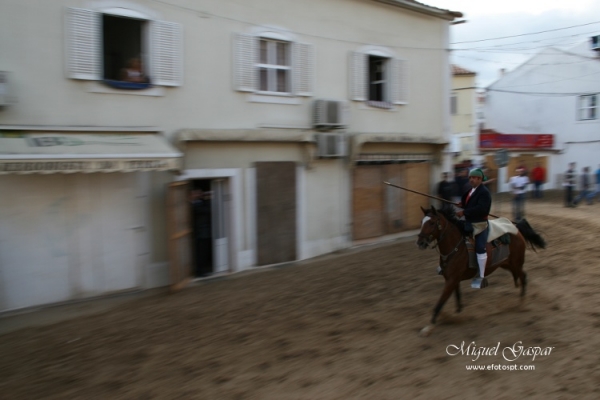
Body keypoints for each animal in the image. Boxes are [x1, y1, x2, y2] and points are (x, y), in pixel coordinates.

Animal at [414, 205, 548, 336]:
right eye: (421, 222)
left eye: (432, 223)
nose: (420, 242)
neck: (456, 246)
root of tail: (516, 229)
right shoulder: (453, 279)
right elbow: (458, 297)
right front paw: (458, 314)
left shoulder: (451, 280)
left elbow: (440, 302)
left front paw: (428, 327)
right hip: (506, 263)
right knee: (518, 276)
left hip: (516, 263)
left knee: (523, 276)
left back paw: (522, 303)